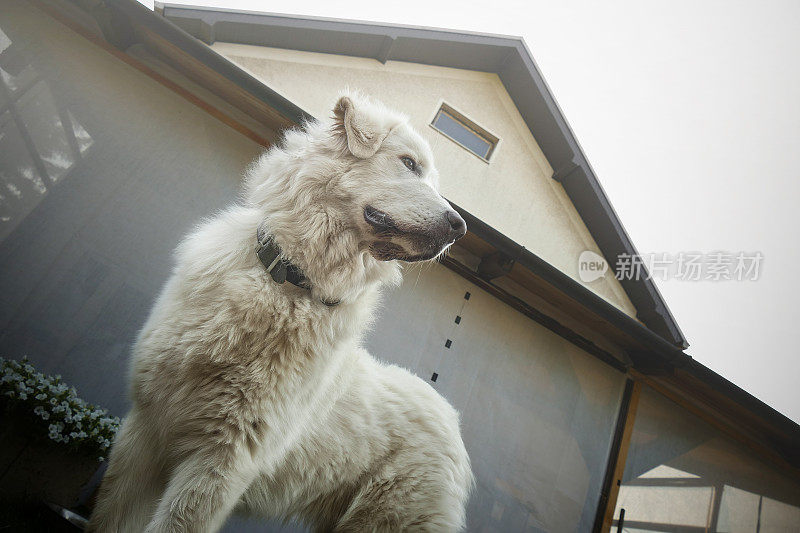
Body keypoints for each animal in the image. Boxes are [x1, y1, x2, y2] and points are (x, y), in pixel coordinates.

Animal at [87, 92, 476, 532]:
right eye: (409, 163)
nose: (460, 228)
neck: (288, 283)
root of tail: (452, 418)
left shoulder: (225, 458)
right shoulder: (145, 430)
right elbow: (107, 518)